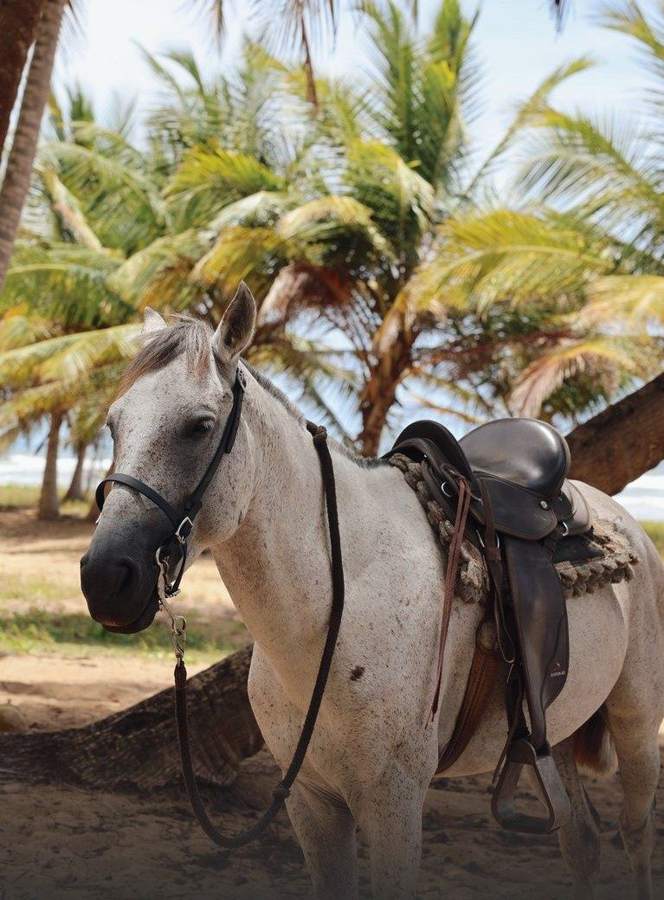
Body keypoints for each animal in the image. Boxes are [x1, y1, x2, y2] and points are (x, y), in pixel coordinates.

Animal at [80, 285, 664, 900]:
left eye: (198, 426)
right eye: (114, 425)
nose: (106, 579)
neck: (334, 612)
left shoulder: (393, 803)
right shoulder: (312, 803)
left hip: (636, 728)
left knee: (634, 834)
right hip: (558, 736)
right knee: (583, 842)